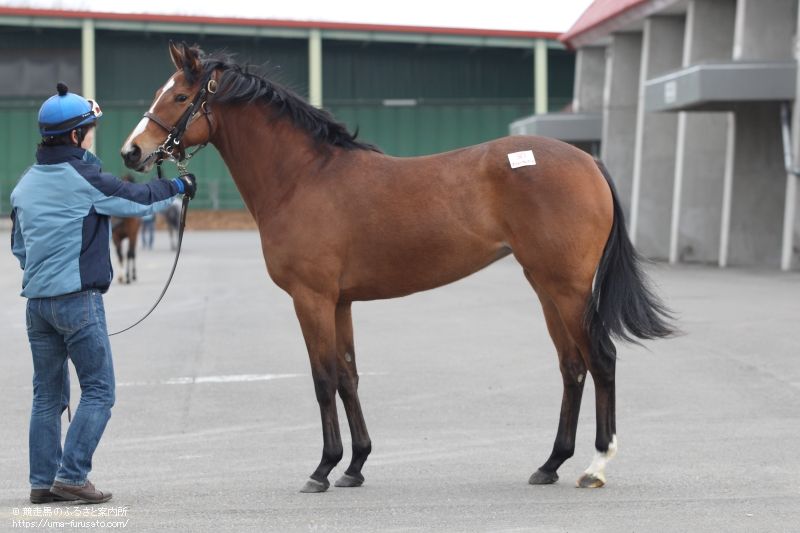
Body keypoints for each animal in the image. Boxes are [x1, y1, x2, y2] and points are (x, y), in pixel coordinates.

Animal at [120, 43, 676, 492]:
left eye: (177, 97)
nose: (131, 151)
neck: (302, 178)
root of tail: (588, 161)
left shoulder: (311, 299)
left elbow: (322, 379)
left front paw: (322, 469)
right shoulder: (340, 302)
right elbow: (348, 376)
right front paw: (355, 466)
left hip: (568, 288)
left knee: (601, 360)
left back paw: (595, 466)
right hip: (544, 287)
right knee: (572, 366)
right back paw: (550, 464)